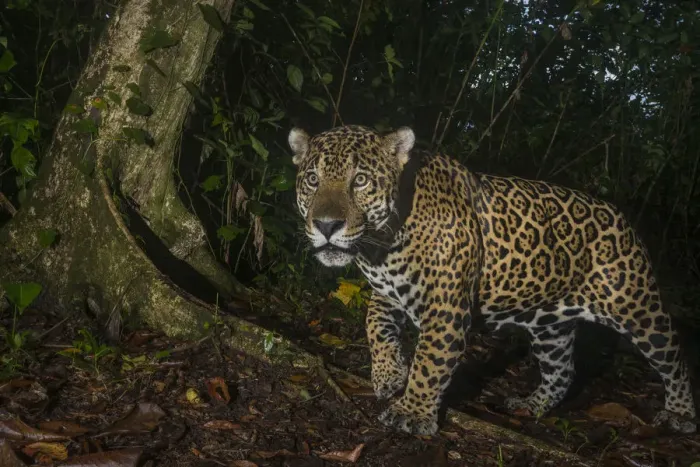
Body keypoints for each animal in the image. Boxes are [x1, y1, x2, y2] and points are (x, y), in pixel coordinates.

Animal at [288, 124, 697, 436]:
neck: (381, 245)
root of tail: (623, 219)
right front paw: (390, 375)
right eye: (312, 180)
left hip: (637, 307)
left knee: (674, 357)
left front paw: (412, 413)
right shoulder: (387, 294)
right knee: (562, 371)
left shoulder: (445, 311)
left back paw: (681, 414)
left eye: (360, 180)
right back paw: (530, 405)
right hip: (550, 326)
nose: (326, 225)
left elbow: (430, 363)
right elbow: (375, 325)